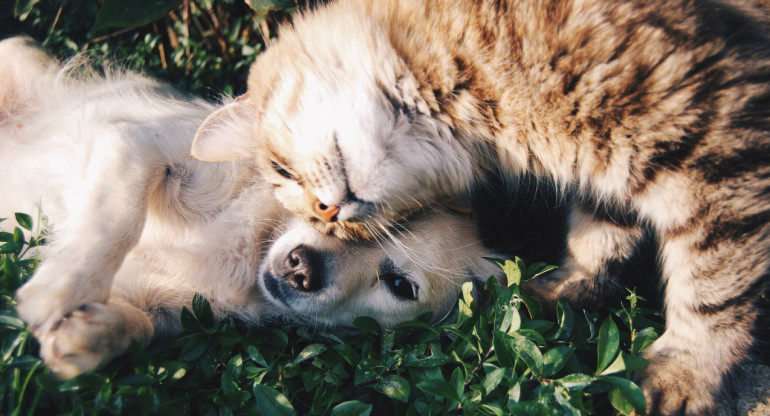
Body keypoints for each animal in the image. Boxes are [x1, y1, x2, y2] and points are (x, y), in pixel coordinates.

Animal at [190, 1, 768, 414]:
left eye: (282, 171)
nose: (328, 214)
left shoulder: (714, 147)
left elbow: (713, 287)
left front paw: (687, 373)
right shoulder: (613, 169)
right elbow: (600, 234)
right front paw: (564, 290)